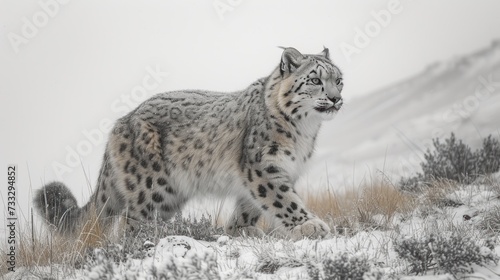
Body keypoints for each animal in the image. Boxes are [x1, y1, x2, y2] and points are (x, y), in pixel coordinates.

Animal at [35, 47, 344, 240]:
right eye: (315, 79)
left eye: (339, 80)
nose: (336, 98)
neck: (305, 130)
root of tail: (121, 123)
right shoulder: (263, 166)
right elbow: (283, 200)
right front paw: (311, 225)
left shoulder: (279, 171)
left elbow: (250, 205)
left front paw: (240, 229)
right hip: (151, 188)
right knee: (132, 224)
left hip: (169, 196)